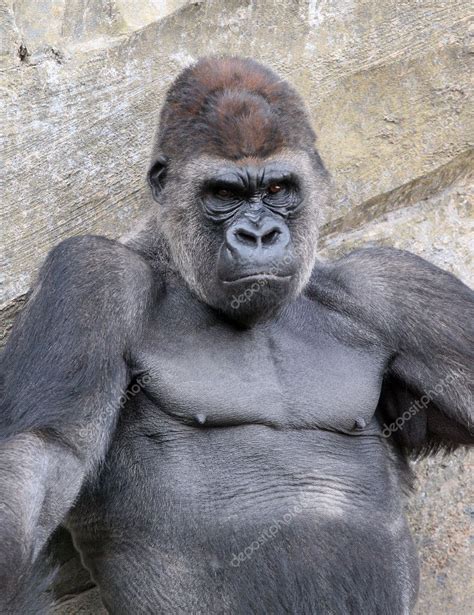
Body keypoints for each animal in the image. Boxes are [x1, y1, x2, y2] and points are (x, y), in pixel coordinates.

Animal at [0, 55, 472, 612]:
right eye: (224, 193)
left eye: (277, 190)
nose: (259, 235)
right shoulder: (90, 273)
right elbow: (43, 452)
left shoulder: (389, 287)